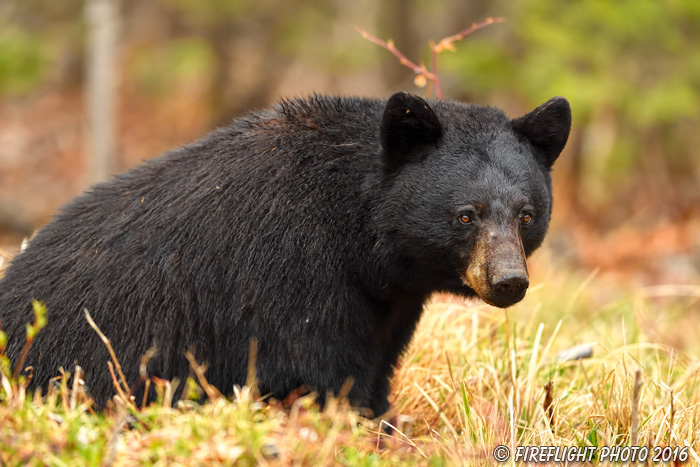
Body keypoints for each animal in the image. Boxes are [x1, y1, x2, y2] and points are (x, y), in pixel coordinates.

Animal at [0, 92, 568, 416]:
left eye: (526, 214)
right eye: (466, 214)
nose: (509, 280)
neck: (361, 239)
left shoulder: (388, 304)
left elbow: (373, 371)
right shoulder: (290, 276)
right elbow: (311, 369)